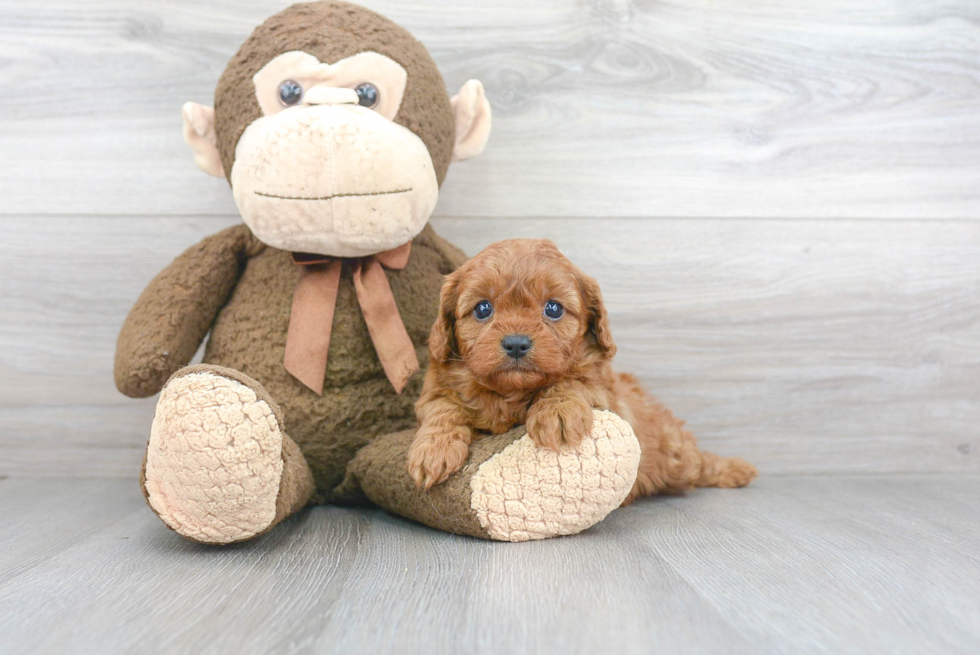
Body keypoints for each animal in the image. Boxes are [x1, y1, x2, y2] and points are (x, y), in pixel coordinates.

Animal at [406, 241, 756, 502]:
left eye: (553, 308)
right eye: (482, 309)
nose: (516, 343)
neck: (511, 392)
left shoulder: (603, 390)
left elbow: (571, 380)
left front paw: (557, 413)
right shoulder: (434, 390)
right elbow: (442, 409)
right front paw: (433, 450)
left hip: (675, 453)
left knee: (699, 463)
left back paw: (735, 469)